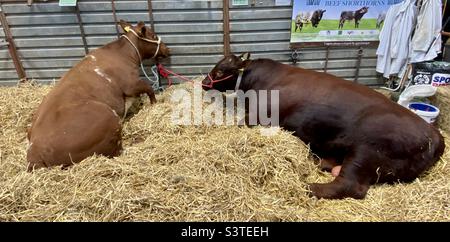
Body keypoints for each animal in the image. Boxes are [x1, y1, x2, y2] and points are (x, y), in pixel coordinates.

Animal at [26, 19, 171, 171]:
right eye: (153, 35)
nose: (168, 49)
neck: (123, 54)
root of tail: (34, 151)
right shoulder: (131, 84)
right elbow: (149, 88)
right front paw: (154, 103)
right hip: (108, 118)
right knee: (115, 151)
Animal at [202, 54, 444, 199]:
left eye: (221, 71)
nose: (204, 83)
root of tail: (434, 135)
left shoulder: (256, 116)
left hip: (366, 152)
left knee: (348, 186)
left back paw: (305, 186)